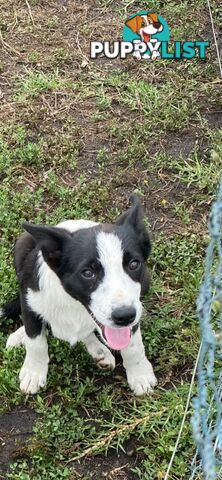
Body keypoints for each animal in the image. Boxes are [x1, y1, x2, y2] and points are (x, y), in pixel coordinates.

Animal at [2, 197, 158, 396]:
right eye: (88, 273)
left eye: (133, 264)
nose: (124, 316)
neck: (74, 303)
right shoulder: (29, 298)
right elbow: (35, 340)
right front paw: (34, 372)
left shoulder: (135, 308)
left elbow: (133, 345)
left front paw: (139, 373)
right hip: (22, 244)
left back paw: (100, 351)